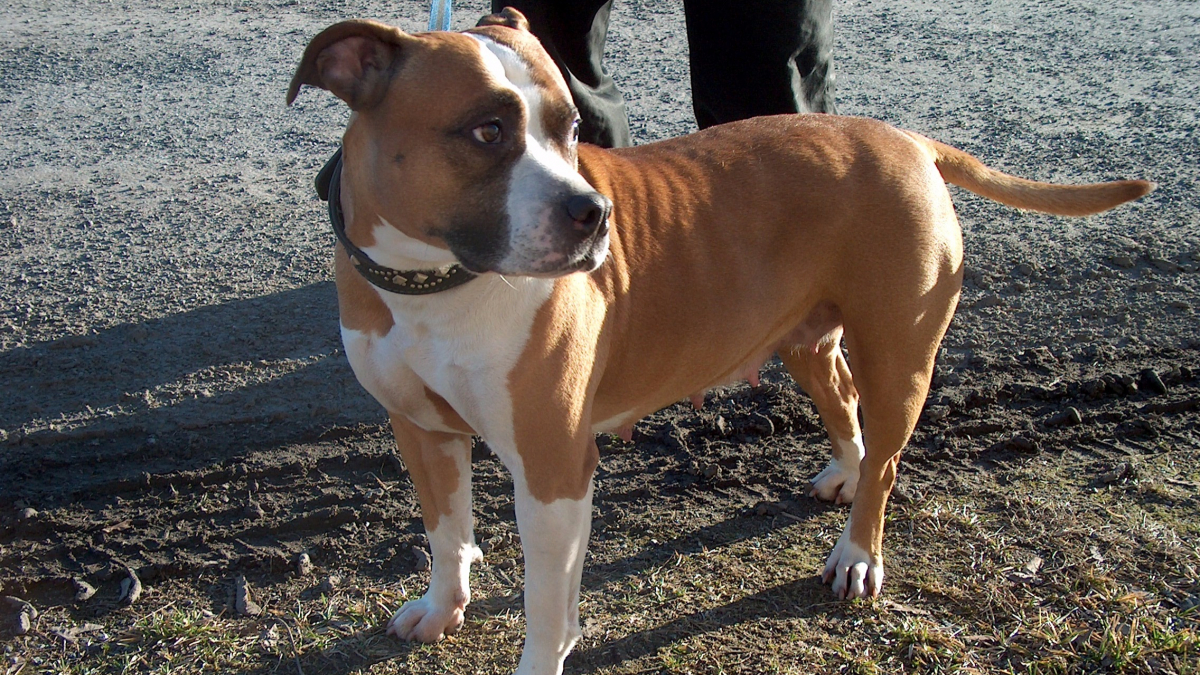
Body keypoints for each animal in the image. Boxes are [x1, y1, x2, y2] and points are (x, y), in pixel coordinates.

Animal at [288, 7, 1152, 667]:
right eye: (487, 130)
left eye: (569, 128)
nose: (594, 214)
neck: (433, 282)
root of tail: (909, 141)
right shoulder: (421, 428)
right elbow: (445, 531)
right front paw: (443, 606)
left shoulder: (553, 467)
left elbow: (546, 604)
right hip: (807, 337)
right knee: (846, 408)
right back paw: (844, 473)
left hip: (900, 357)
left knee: (888, 456)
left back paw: (857, 553)